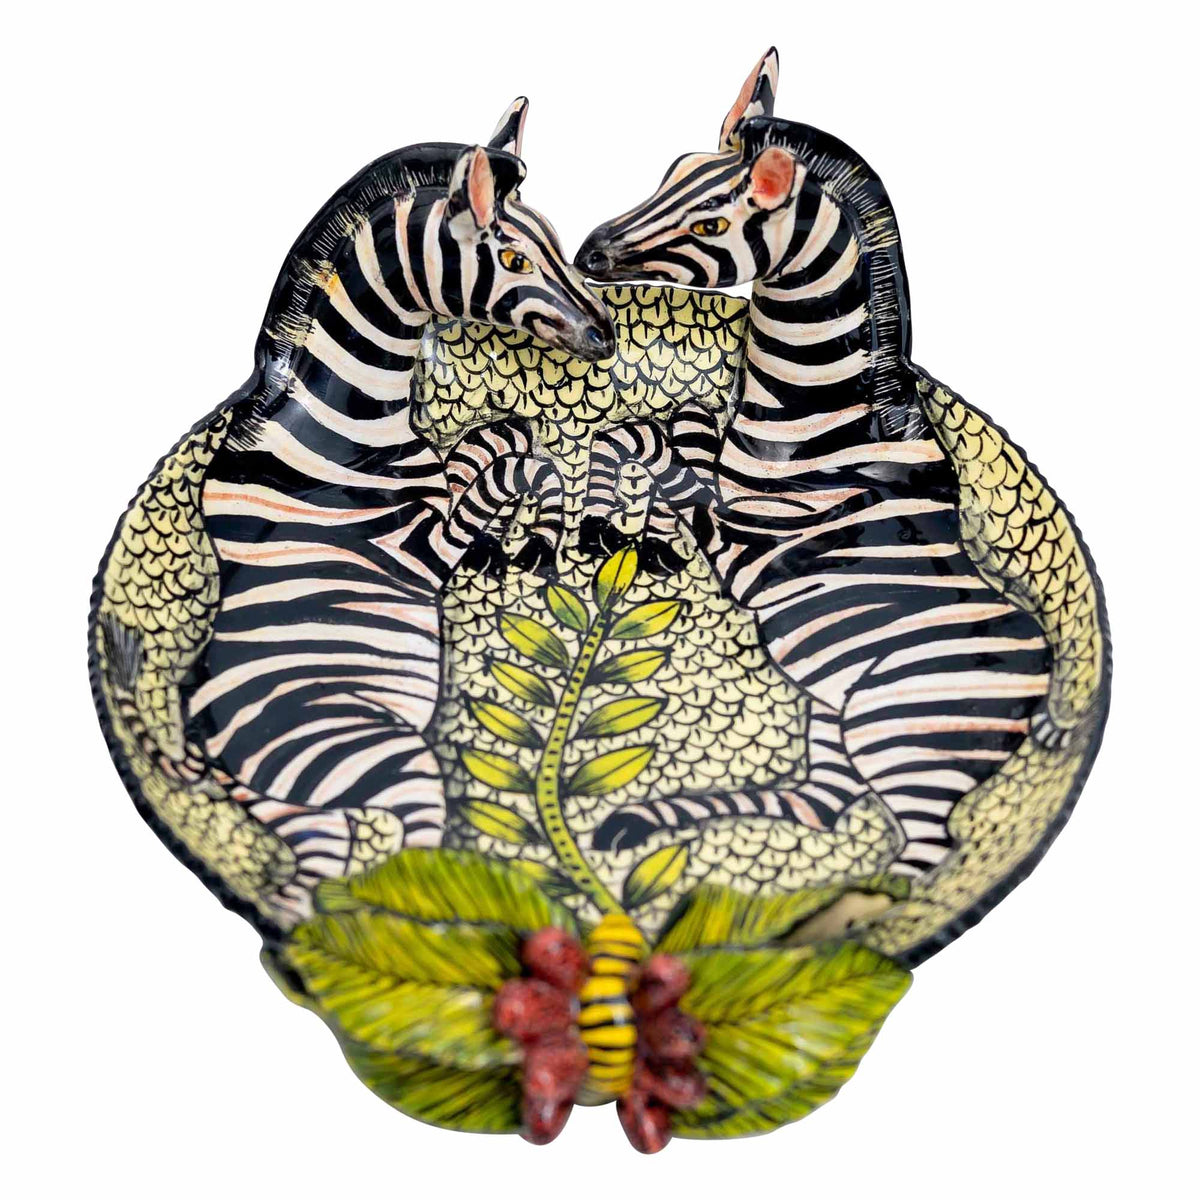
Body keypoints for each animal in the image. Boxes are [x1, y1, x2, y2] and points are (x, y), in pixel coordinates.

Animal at [185, 102, 615, 922]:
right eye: (514, 259)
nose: (605, 337)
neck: (342, 423)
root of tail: (208, 744)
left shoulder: (444, 469)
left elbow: (504, 435)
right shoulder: (416, 548)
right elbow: (514, 465)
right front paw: (530, 532)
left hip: (304, 809)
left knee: (310, 892)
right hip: (384, 754)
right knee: (414, 850)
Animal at [573, 51, 1053, 875]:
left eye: (712, 224)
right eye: (672, 170)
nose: (588, 254)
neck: (817, 416)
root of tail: (1041, 679)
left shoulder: (750, 546)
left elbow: (663, 460)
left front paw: (631, 530)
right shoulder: (713, 443)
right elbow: (649, 428)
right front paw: (608, 515)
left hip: (898, 731)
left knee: (924, 850)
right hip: (832, 713)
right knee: (820, 804)